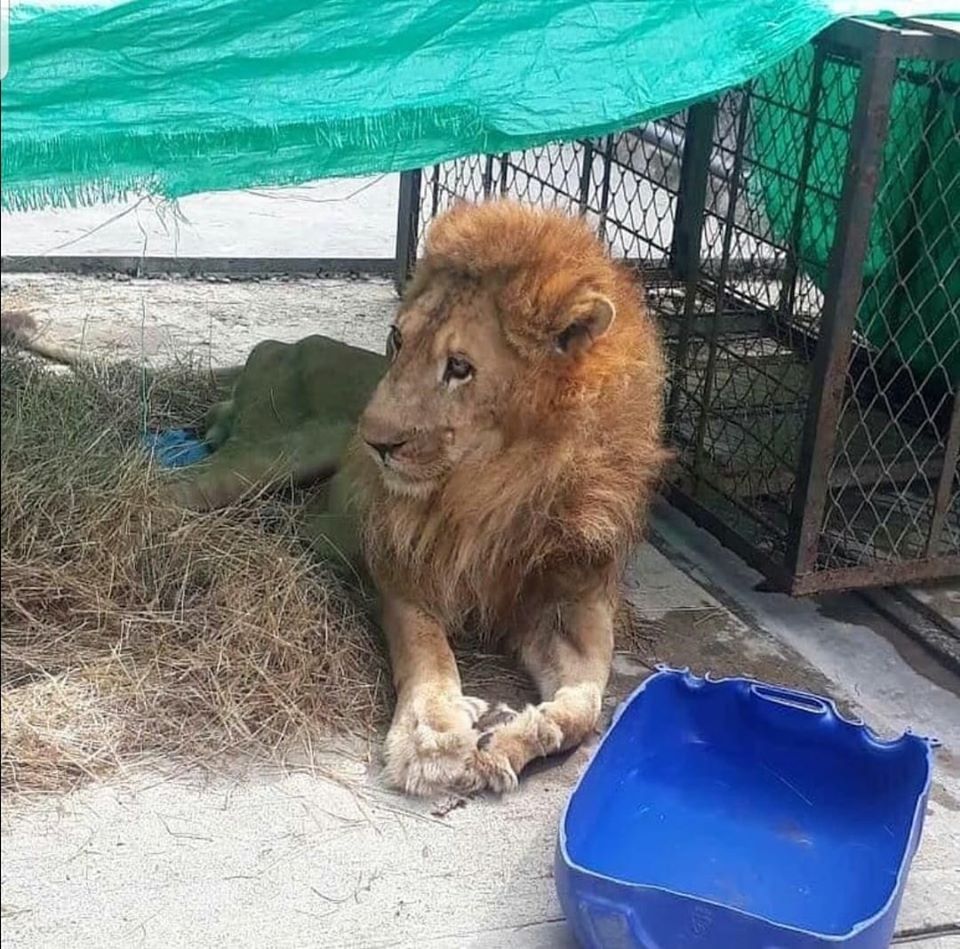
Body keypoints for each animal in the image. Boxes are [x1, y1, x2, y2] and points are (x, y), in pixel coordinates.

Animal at [346, 200, 668, 795]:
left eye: (459, 367)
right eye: (397, 339)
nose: (373, 441)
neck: (496, 489)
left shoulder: (574, 594)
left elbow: (588, 702)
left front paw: (512, 739)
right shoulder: (403, 569)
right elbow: (425, 651)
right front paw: (432, 733)